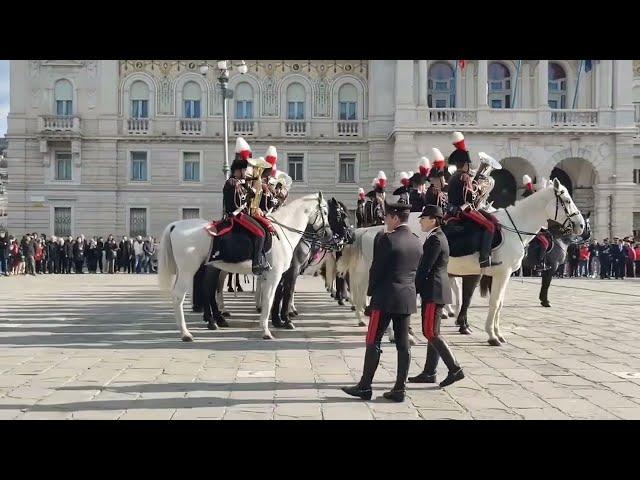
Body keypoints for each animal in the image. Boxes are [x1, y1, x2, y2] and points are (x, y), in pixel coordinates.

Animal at [158, 192, 332, 342]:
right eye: (324, 211)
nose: (329, 235)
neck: (283, 232)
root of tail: (175, 225)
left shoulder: (272, 275)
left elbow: (274, 296)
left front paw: (277, 321)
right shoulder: (277, 274)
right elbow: (271, 298)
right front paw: (268, 329)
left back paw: (211, 322)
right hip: (189, 270)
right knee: (180, 296)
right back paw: (186, 333)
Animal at [448, 177, 584, 344]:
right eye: (567, 200)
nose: (581, 225)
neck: (515, 227)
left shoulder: (500, 275)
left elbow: (499, 303)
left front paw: (498, 333)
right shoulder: (503, 273)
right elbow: (495, 302)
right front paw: (492, 336)